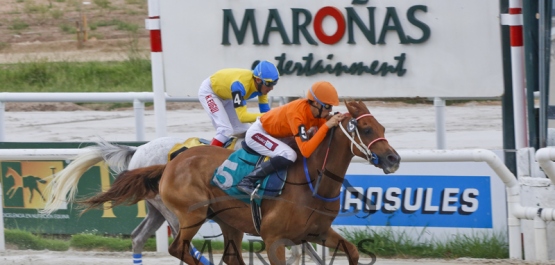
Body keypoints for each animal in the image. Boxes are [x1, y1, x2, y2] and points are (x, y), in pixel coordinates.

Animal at [80, 100, 400, 262]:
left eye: (383, 127)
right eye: (366, 129)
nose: (393, 158)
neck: (313, 182)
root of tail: (169, 162)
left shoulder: (319, 232)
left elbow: (352, 251)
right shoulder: (274, 239)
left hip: (223, 221)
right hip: (187, 214)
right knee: (179, 248)